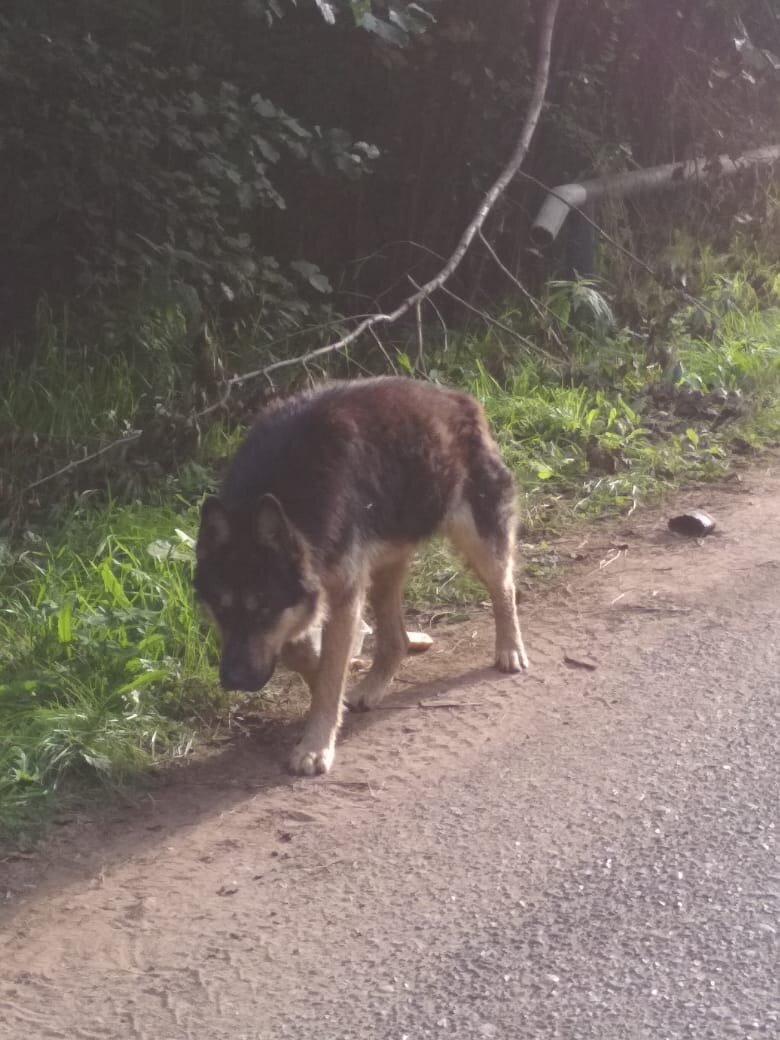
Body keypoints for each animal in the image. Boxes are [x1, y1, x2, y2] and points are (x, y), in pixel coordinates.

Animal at [194, 378, 532, 777]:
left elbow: (329, 674)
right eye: (221, 611)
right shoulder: (313, 596)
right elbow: (305, 656)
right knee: (396, 639)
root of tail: (457, 399)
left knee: (504, 589)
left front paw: (316, 744)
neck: (291, 497)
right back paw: (375, 683)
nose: (234, 680)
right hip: (385, 569)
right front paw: (328, 694)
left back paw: (510, 649)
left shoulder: (341, 594)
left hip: (477, 541)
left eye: (262, 609)